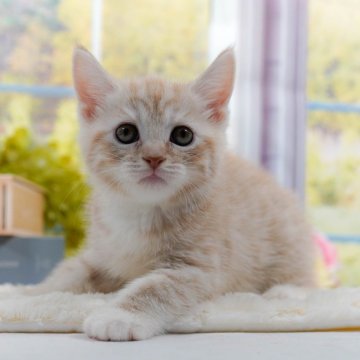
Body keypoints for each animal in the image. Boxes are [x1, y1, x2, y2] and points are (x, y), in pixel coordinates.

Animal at [15, 47, 314, 340]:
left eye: (183, 135)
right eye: (125, 132)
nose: (154, 158)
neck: (139, 211)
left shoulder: (199, 267)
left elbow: (156, 287)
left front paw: (118, 317)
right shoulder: (101, 251)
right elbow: (69, 272)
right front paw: (29, 295)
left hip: (288, 237)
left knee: (303, 279)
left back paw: (283, 293)